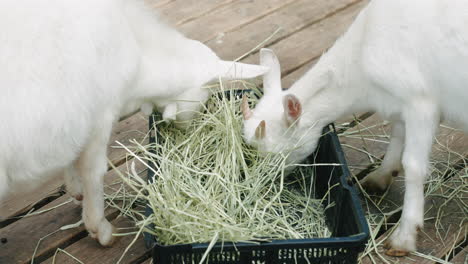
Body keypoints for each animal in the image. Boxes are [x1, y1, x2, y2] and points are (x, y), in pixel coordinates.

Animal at [0, 0, 266, 245]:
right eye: (205, 97)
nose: (188, 130)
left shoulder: (78, 118)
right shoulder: (100, 117)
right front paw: (100, 229)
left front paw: (75, 190)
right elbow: (94, 171)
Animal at [241, 0, 468, 256]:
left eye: (273, 154)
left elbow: (414, 166)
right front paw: (379, 177)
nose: (258, 187)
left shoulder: (421, 104)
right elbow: (397, 136)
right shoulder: (400, 102)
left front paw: (403, 238)